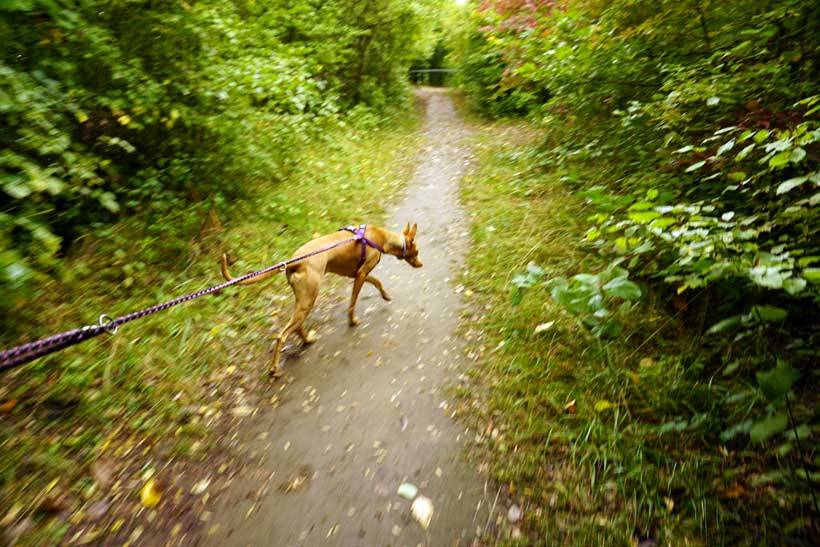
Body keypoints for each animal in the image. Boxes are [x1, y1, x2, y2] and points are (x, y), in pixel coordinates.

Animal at [221, 223, 422, 376]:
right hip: (309, 299)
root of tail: (294, 261)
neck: (381, 237)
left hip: (304, 300)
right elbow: (352, 303)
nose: (421, 264)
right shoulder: (361, 274)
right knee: (282, 335)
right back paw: (274, 369)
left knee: (297, 326)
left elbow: (377, 282)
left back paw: (307, 341)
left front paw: (386, 295)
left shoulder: (357, 274)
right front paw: (352, 321)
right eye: (418, 251)